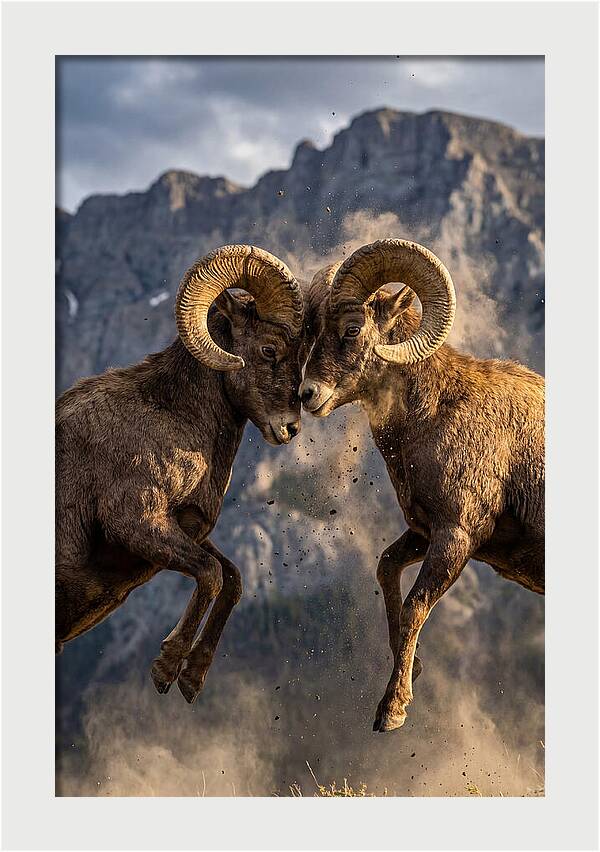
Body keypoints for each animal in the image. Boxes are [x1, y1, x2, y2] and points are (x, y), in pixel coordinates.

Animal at [56, 244, 306, 703]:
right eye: (268, 349)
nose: (290, 428)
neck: (174, 416)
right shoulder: (137, 524)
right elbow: (210, 575)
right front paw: (166, 668)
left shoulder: (186, 530)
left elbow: (233, 579)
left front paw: (192, 679)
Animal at [299, 239, 544, 732]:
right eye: (312, 329)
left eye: (352, 329)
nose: (307, 394)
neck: (435, 414)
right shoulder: (422, 532)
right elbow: (386, 569)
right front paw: (412, 672)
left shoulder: (455, 537)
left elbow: (415, 606)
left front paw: (392, 711)